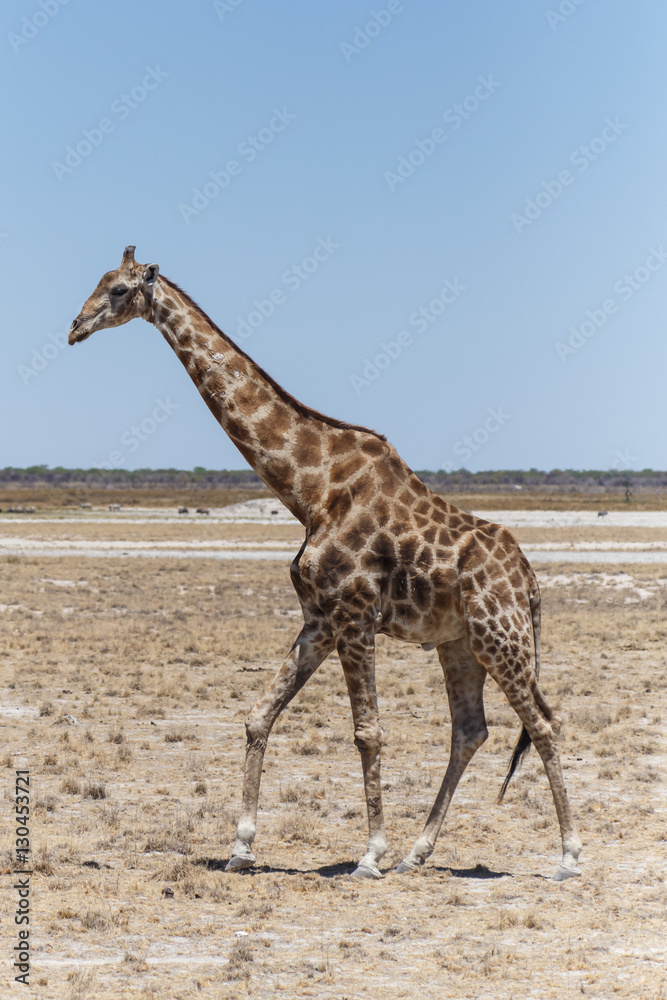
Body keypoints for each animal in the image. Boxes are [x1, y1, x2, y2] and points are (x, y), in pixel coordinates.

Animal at [68, 246, 582, 881]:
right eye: (99, 282)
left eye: (117, 290)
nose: (75, 327)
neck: (308, 490)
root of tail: (530, 581)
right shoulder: (319, 618)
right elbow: (259, 715)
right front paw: (242, 846)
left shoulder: (355, 616)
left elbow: (367, 733)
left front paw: (369, 854)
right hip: (458, 643)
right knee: (471, 730)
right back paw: (418, 852)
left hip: (499, 636)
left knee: (543, 723)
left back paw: (567, 856)